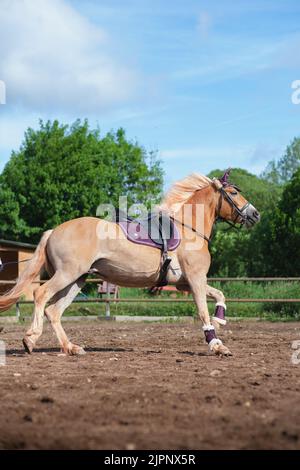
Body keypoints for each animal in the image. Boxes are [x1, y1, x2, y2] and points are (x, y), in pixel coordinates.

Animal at [0, 169, 258, 356]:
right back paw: (30, 339)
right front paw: (217, 345)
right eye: (234, 193)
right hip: (67, 274)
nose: (255, 214)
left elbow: (219, 294)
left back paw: (71, 347)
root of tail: (54, 230)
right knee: (41, 295)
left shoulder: (185, 283)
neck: (189, 229)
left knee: (53, 311)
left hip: (77, 279)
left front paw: (220, 318)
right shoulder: (195, 279)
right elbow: (203, 312)